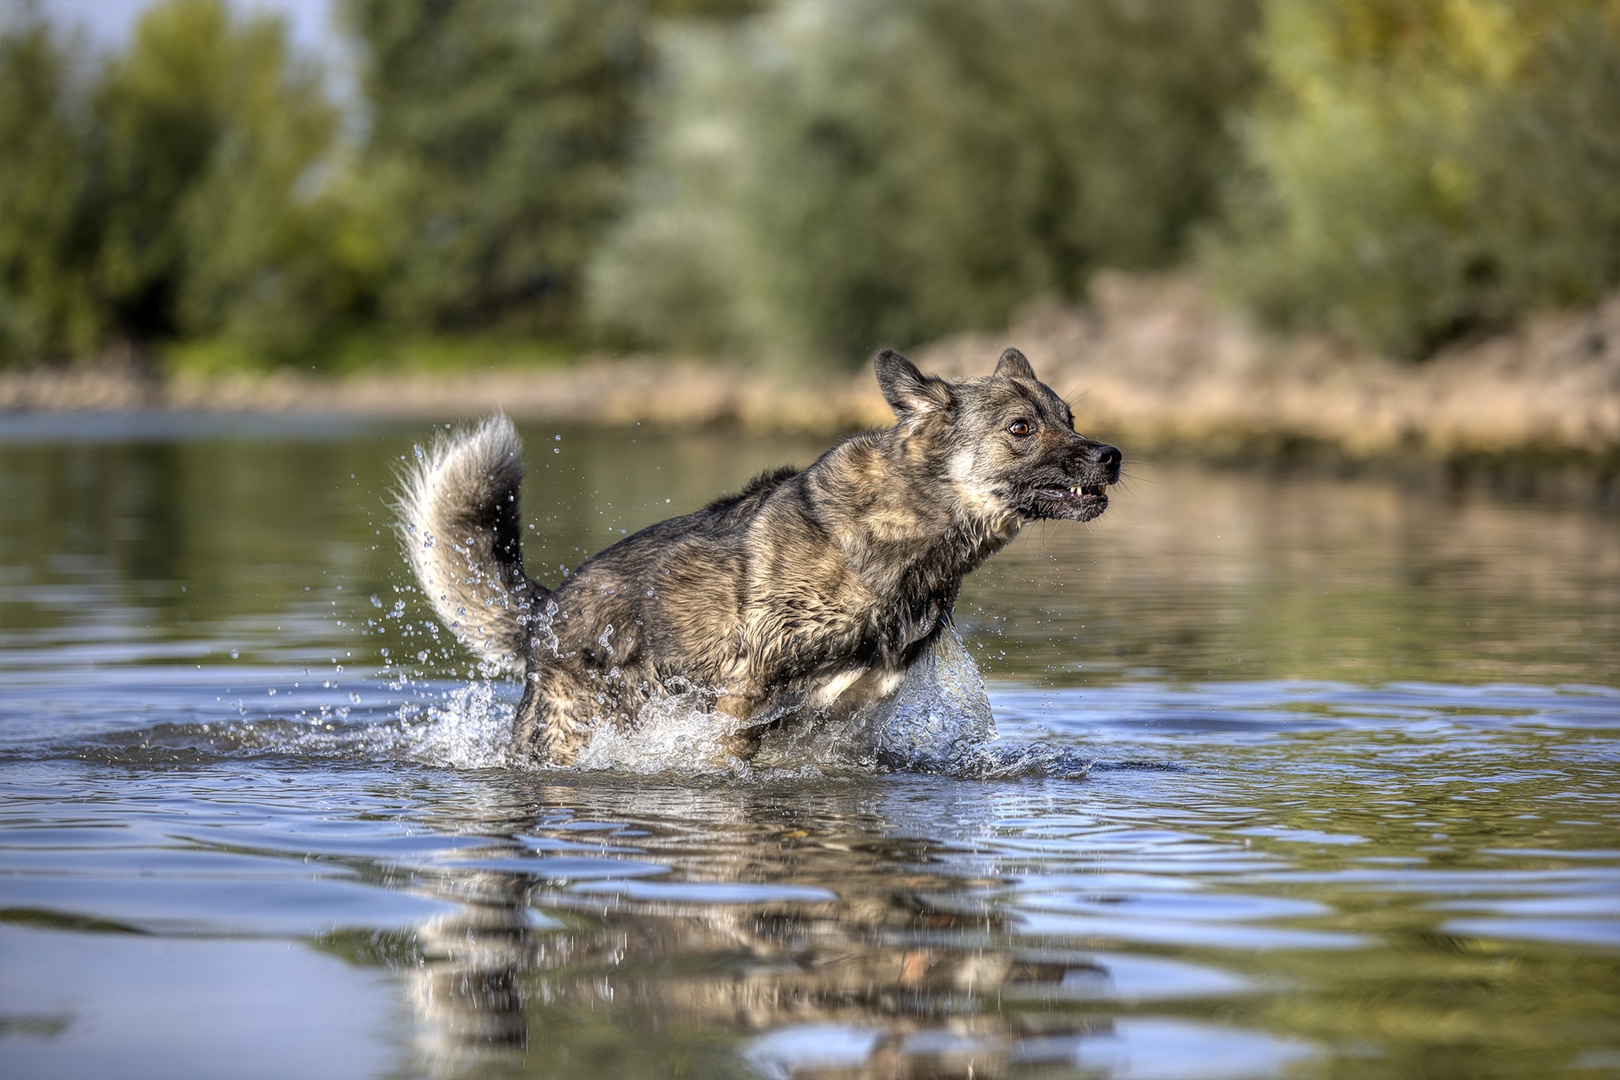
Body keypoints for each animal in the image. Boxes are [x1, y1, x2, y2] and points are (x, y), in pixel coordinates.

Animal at [398, 351, 1121, 764]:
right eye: (1021, 428)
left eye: (1070, 416)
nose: (1111, 455)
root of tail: (545, 614)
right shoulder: (740, 706)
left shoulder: (848, 724)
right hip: (575, 732)